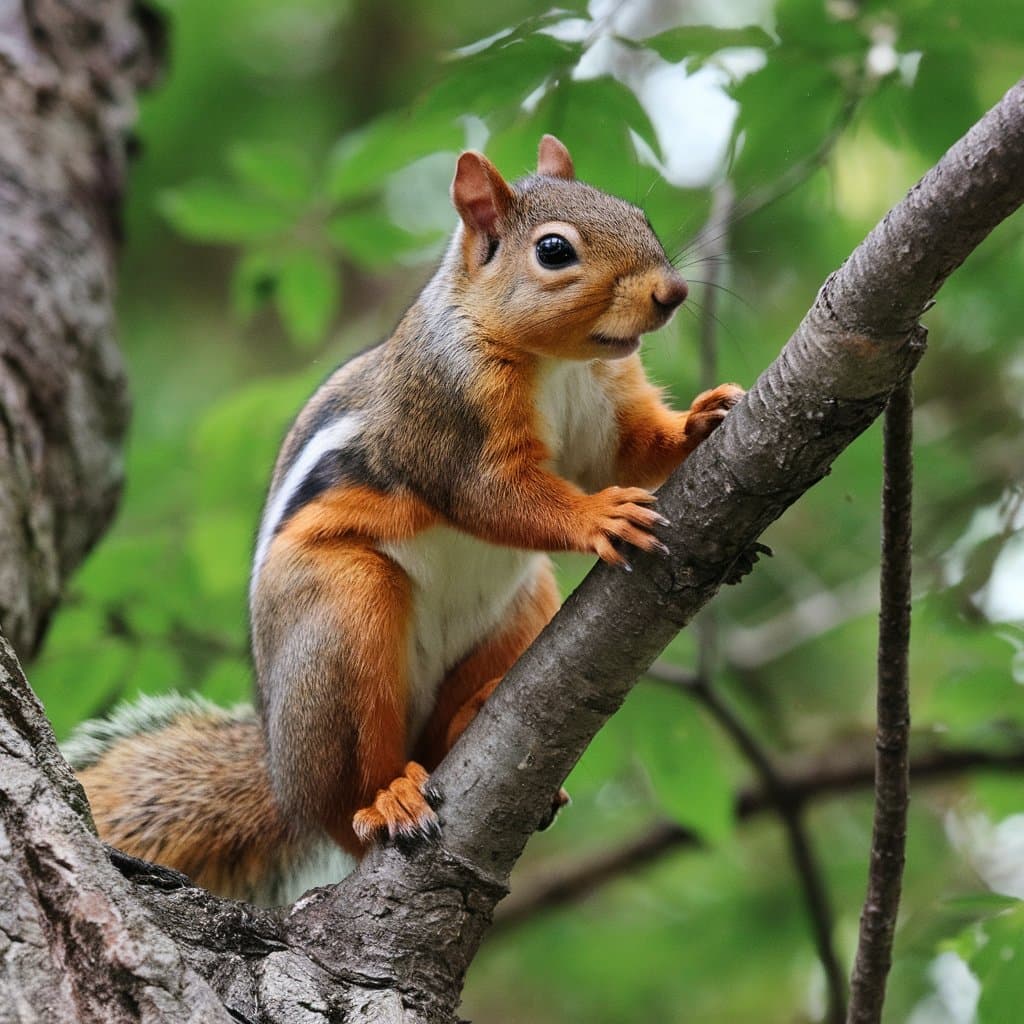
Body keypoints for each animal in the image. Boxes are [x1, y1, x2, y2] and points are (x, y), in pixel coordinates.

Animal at [67, 135, 743, 904]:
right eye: (553, 251)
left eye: (639, 216)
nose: (673, 293)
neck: (559, 362)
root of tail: (281, 774)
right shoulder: (447, 420)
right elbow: (497, 496)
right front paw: (598, 512)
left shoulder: (606, 408)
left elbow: (629, 449)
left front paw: (703, 418)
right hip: (341, 618)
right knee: (350, 795)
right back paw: (385, 800)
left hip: (521, 609)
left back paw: (472, 719)